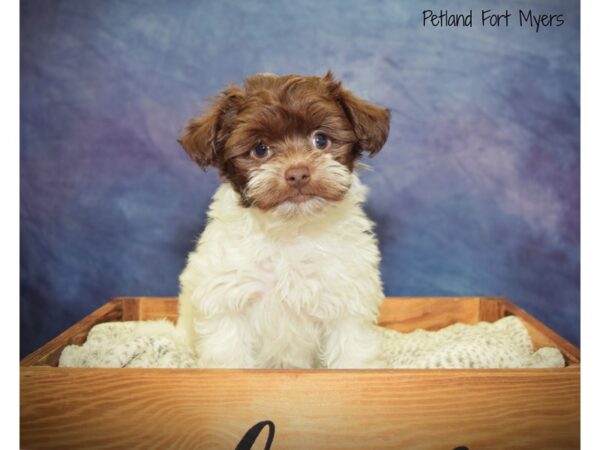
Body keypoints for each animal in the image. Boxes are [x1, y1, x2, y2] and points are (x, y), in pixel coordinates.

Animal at [175, 72, 390, 368]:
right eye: (260, 149)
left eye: (321, 140)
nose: (298, 173)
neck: (292, 231)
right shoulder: (228, 298)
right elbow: (230, 358)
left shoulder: (347, 298)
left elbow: (353, 353)